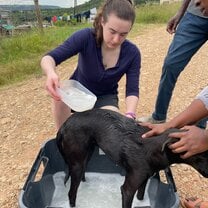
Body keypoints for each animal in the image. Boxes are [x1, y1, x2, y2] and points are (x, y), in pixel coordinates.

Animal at [56, 108, 208, 208]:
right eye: (200, 153)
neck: (154, 149)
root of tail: (64, 125)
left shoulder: (144, 180)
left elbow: (140, 196)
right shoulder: (127, 189)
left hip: (87, 154)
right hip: (77, 163)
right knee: (71, 193)